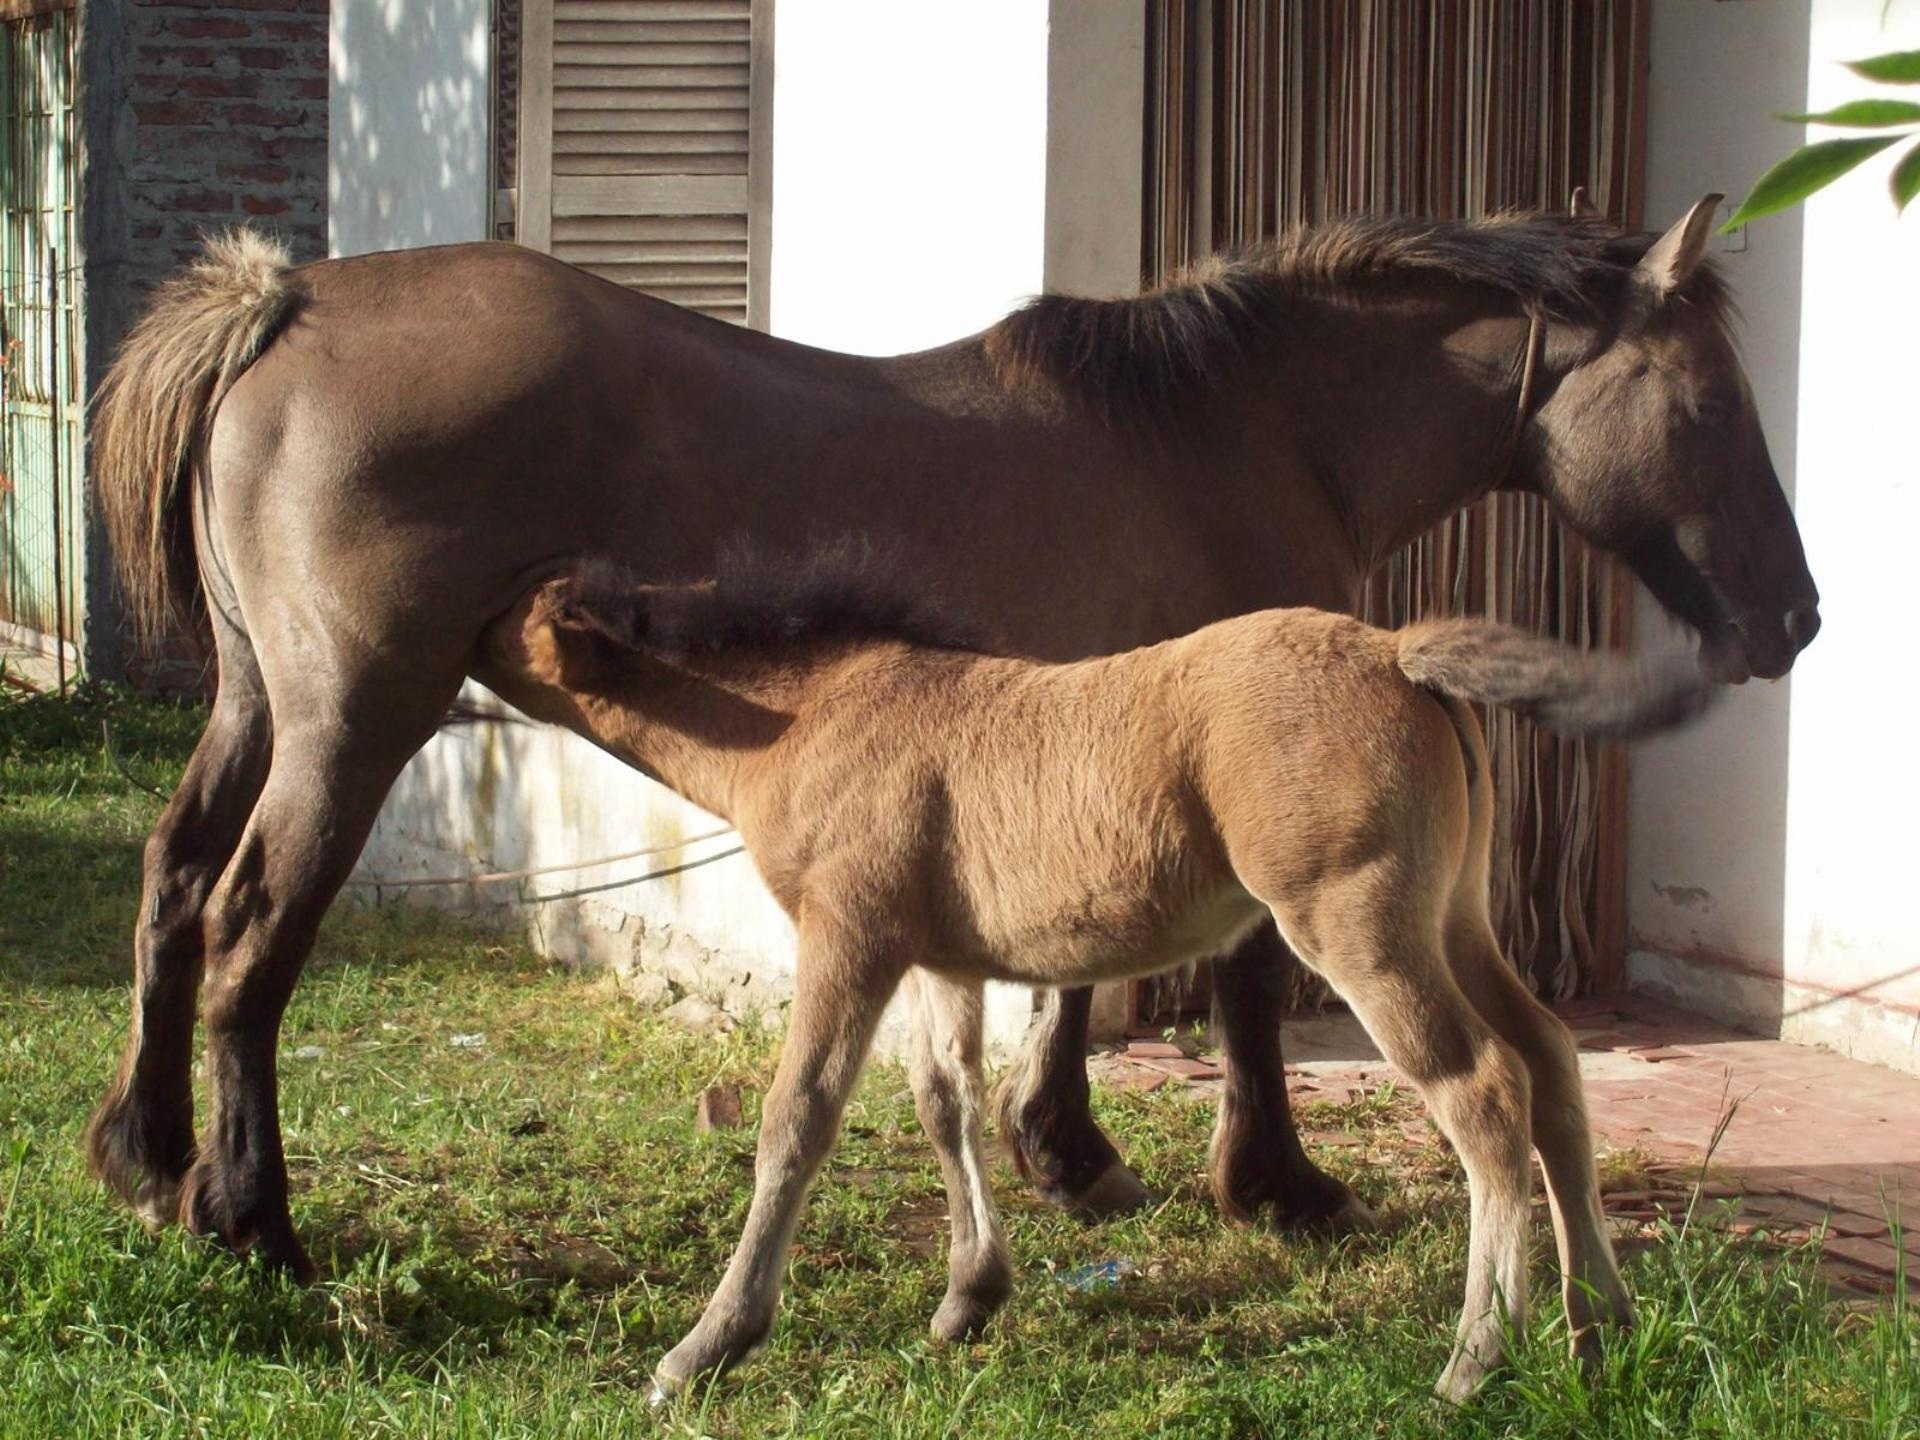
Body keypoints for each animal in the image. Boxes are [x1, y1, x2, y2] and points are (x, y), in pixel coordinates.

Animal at [90, 194, 1820, 1282]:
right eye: (1712, 408)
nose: (1795, 620)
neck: (1237, 432)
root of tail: (284, 305)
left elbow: (1087, 971)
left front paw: (1069, 1150)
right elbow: (1239, 981)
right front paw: (1274, 1183)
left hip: (259, 707)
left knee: (172, 893)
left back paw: (146, 1159)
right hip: (352, 723)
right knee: (252, 929)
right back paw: (253, 1221)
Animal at [480, 545, 1712, 1405]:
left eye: (510, 612)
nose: (453, 639)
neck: (804, 714)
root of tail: (1396, 651)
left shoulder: (851, 935)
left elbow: (798, 1119)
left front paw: (707, 1346)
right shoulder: (939, 957)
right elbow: (945, 1102)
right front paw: (968, 1300)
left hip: (1359, 929)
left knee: (1485, 1093)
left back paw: (1476, 1361)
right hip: (1454, 919)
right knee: (1552, 1066)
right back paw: (1597, 1328)